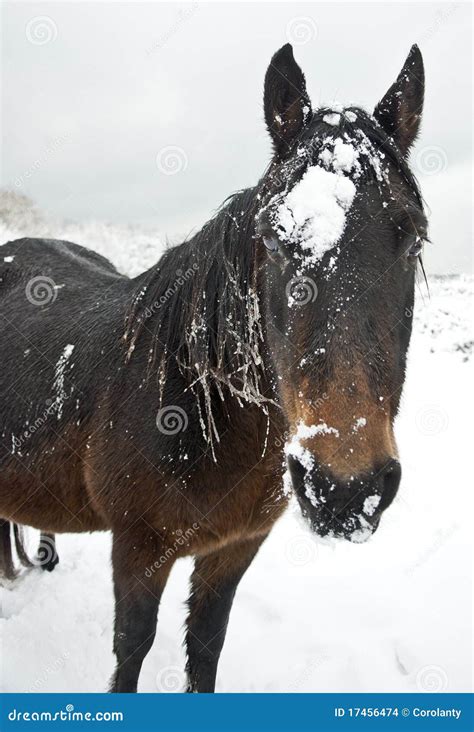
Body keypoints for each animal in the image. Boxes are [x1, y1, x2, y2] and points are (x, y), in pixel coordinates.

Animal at [0, 43, 428, 696]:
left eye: (413, 239)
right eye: (275, 239)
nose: (344, 488)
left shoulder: (234, 548)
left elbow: (205, 646)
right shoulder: (137, 548)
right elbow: (132, 649)